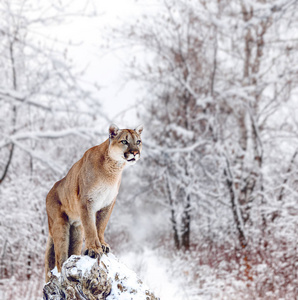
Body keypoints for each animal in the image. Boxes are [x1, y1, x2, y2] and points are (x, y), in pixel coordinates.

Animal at [44, 123, 143, 282]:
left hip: (76, 230)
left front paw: (102, 245)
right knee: (59, 258)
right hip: (60, 224)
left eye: (138, 141)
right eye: (124, 141)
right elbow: (91, 227)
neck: (113, 169)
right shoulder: (87, 201)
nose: (135, 152)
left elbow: (100, 225)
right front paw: (94, 249)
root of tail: (50, 191)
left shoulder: (108, 203)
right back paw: (64, 270)